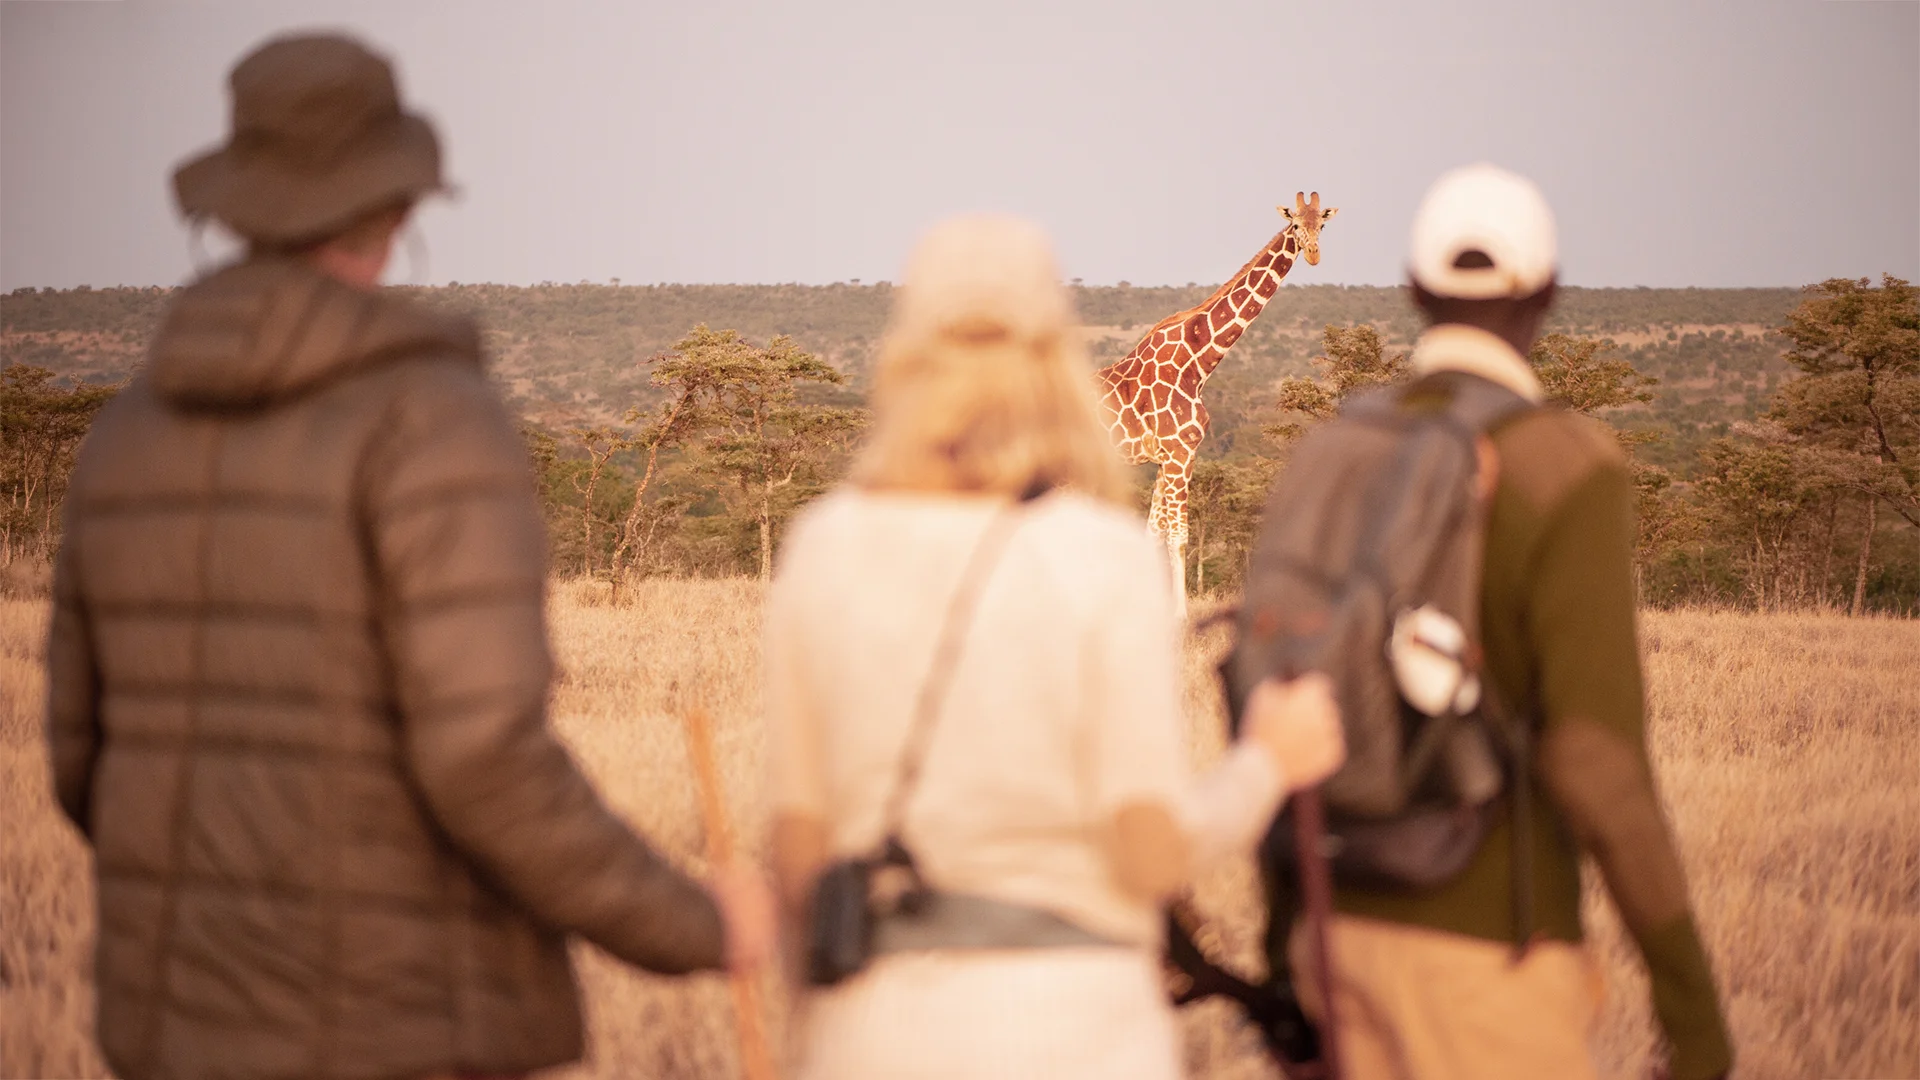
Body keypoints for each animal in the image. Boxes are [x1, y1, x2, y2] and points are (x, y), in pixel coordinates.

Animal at [1095, 191, 1338, 610]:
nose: (1313, 254)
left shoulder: (1167, 457)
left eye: (1321, 223)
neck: (1197, 361)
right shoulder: (1180, 453)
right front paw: (1180, 614)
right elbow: (1179, 537)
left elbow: (1153, 534)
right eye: (1294, 224)